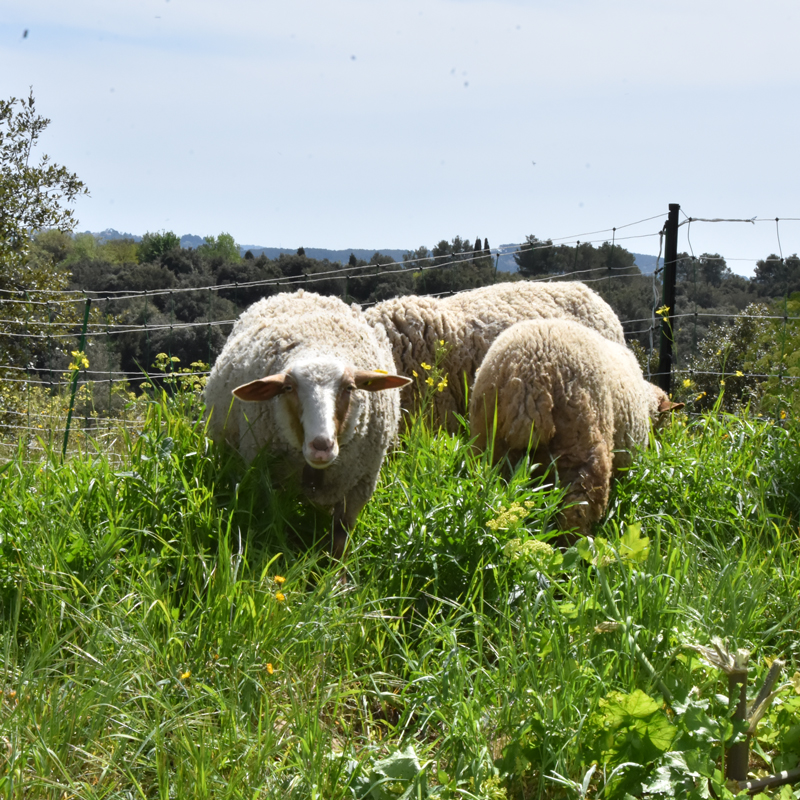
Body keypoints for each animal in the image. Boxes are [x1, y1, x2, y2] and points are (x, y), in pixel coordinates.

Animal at [205, 290, 412, 560]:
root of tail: (297, 292)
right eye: (288, 388)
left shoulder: (357, 490)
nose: (321, 446)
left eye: (349, 387)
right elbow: (281, 533)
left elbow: (339, 543)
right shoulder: (271, 486)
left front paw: (337, 572)